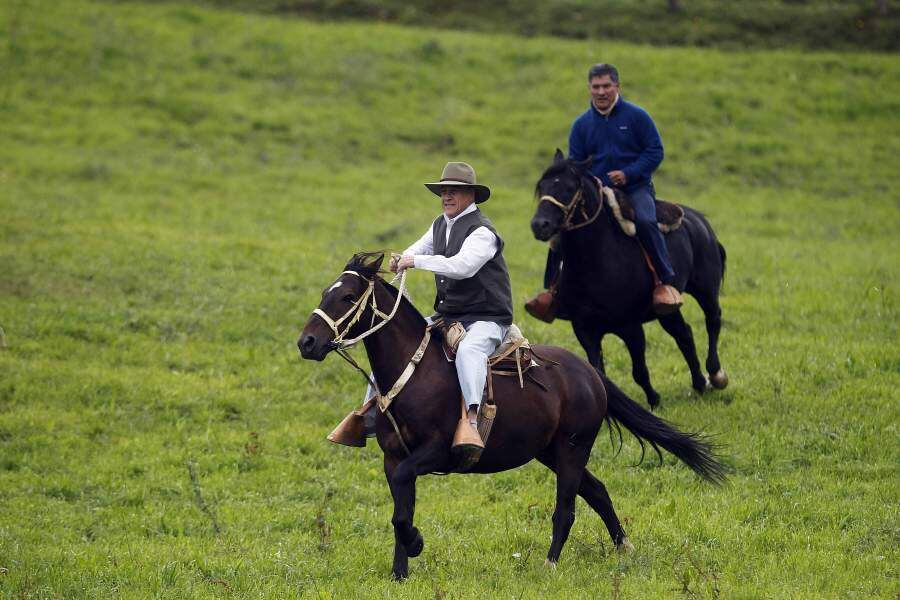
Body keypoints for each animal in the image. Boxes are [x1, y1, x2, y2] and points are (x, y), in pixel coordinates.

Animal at [298, 251, 728, 580]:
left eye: (347, 296)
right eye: (325, 292)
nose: (307, 342)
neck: (416, 372)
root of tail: (590, 374)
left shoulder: (433, 453)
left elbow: (403, 513)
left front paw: (416, 544)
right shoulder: (394, 460)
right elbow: (400, 513)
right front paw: (400, 573)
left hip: (572, 449)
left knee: (567, 508)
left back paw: (550, 564)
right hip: (550, 452)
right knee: (597, 491)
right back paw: (624, 547)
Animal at [532, 151, 728, 408]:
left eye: (568, 188)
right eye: (541, 186)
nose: (539, 225)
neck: (597, 261)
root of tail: (699, 220)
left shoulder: (631, 328)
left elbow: (639, 371)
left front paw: (654, 400)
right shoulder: (585, 329)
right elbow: (598, 371)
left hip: (706, 289)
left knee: (712, 320)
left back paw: (715, 374)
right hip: (667, 309)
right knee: (684, 333)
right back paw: (699, 383)